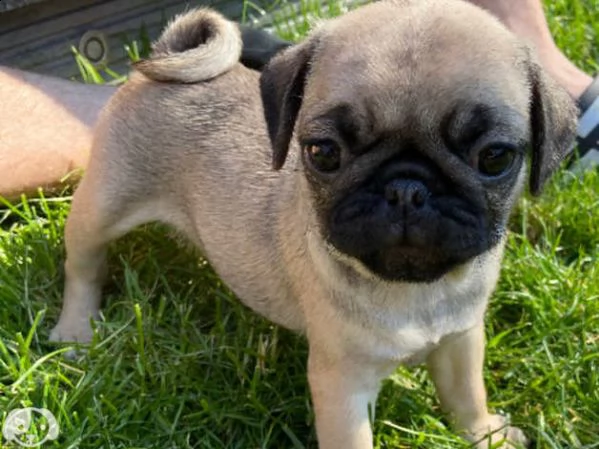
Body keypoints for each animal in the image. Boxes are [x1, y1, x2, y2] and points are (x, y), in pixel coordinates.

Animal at [49, 1, 580, 446]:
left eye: (495, 158)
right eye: (323, 152)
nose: (406, 188)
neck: (415, 291)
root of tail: (165, 57)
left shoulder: (460, 340)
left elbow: (467, 396)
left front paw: (486, 434)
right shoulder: (342, 386)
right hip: (101, 206)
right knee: (84, 266)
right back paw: (76, 331)